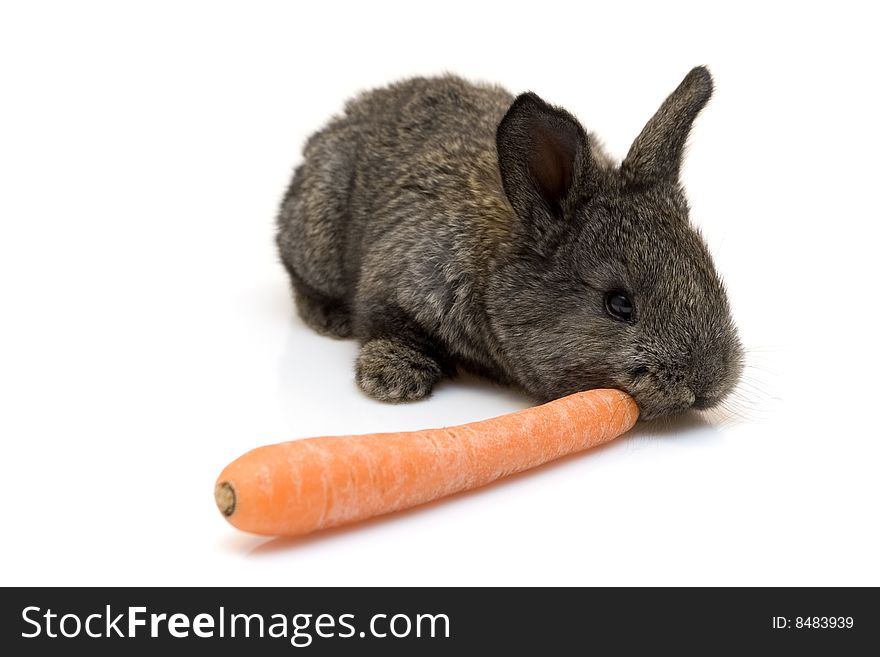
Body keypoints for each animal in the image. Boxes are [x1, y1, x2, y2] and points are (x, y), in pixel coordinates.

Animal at [276, 66, 744, 420]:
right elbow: (387, 326)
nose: (708, 384)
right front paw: (394, 379)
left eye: (710, 272)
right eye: (619, 304)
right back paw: (329, 318)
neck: (489, 269)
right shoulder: (393, 282)